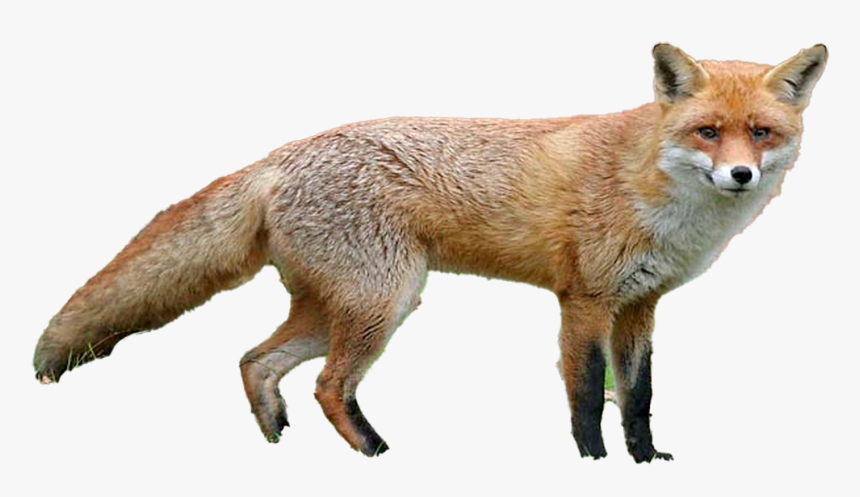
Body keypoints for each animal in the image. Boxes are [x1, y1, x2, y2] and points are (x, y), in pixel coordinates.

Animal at [33, 43, 827, 462]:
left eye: (760, 133)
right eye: (706, 132)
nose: (740, 175)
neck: (656, 195)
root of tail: (282, 154)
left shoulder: (640, 306)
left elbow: (638, 396)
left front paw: (643, 461)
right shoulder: (585, 301)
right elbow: (584, 396)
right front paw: (593, 463)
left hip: (348, 304)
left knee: (254, 360)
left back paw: (275, 436)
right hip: (384, 301)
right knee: (328, 385)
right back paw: (374, 452)